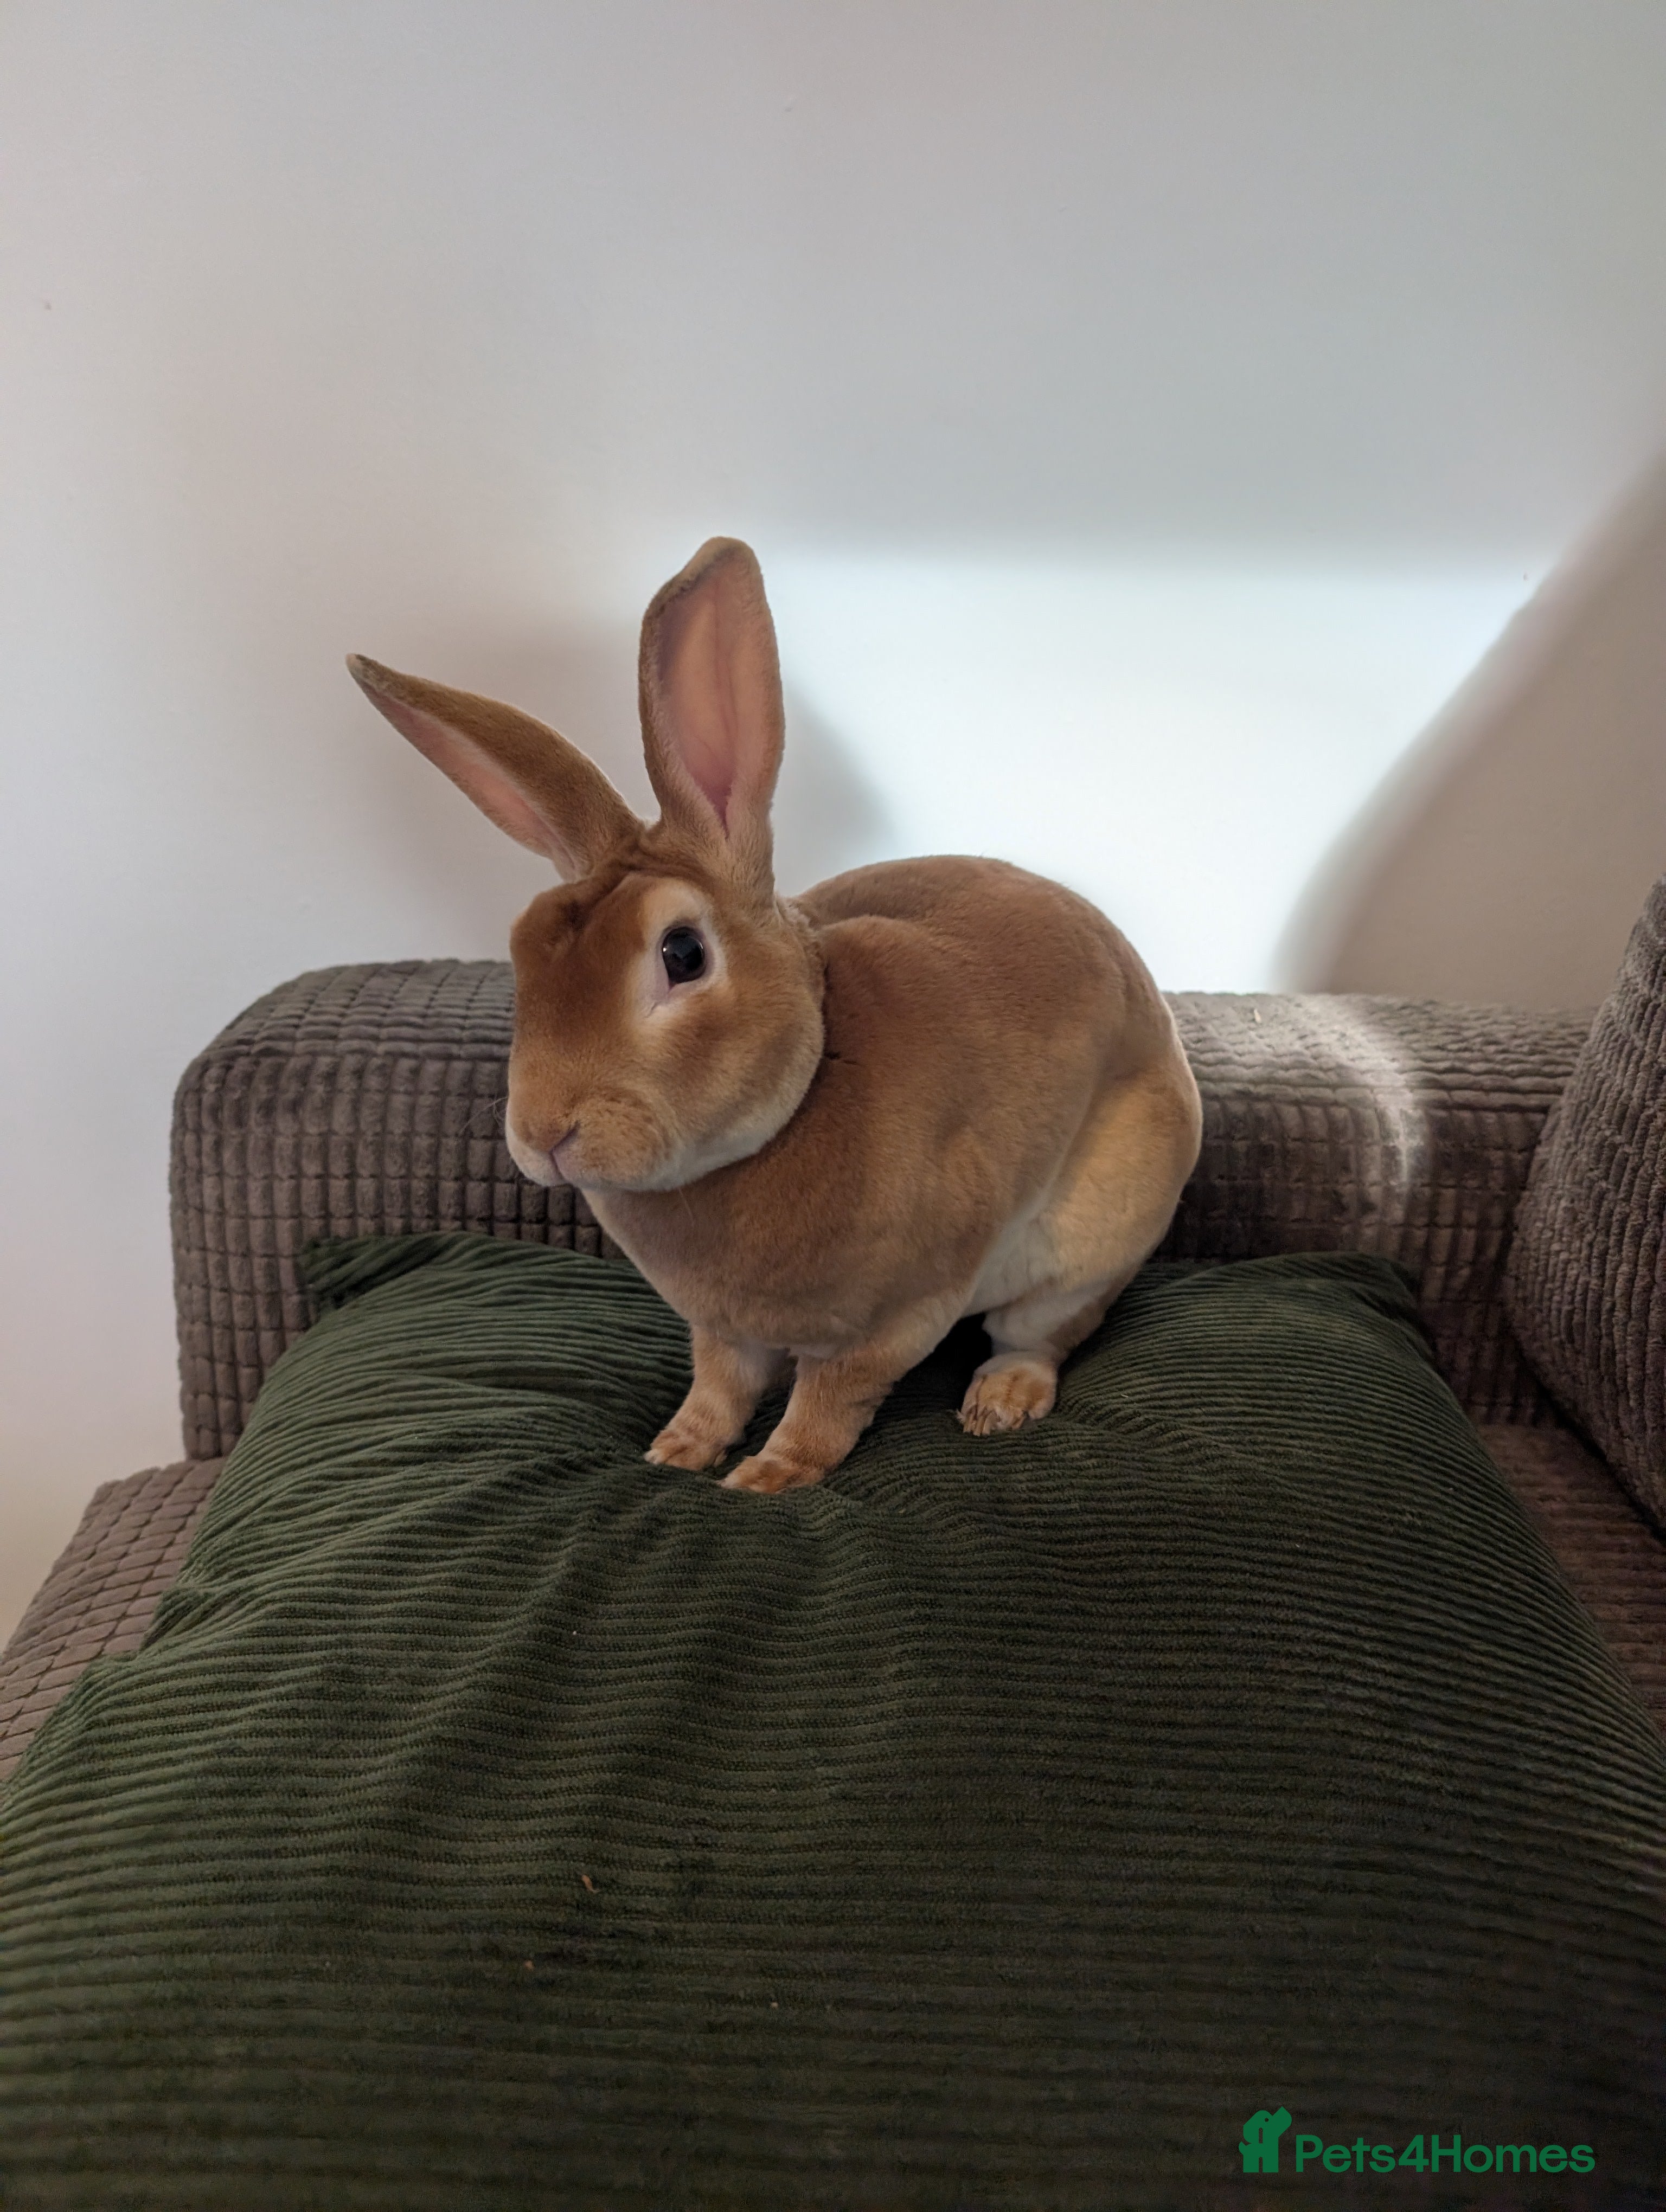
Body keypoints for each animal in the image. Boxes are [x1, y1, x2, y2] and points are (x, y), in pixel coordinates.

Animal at [348, 538, 1202, 1493]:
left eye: (683, 954)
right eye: (522, 945)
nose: (544, 1136)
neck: (808, 1079)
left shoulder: (894, 1319)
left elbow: (828, 1401)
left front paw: (767, 1478)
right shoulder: (724, 1329)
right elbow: (719, 1384)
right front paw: (678, 1451)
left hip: (1091, 1245)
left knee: (1039, 1336)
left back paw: (999, 1403)